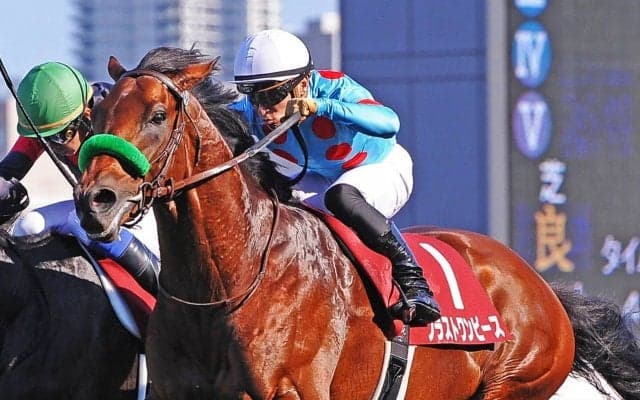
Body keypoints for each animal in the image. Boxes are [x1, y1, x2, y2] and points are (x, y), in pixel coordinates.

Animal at [73, 46, 640, 399]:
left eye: (156, 117)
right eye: (96, 118)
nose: (94, 201)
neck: (227, 279)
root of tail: (540, 286)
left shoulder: (287, 391)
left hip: (516, 381)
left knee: (347, 194)